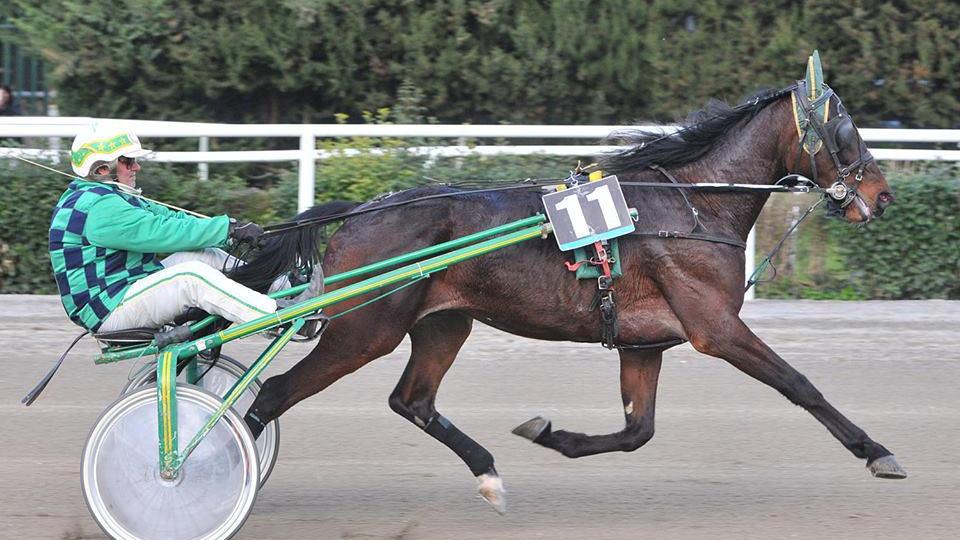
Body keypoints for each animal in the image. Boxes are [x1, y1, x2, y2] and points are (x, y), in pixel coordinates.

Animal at [231, 71, 902, 513]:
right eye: (845, 130)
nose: (883, 195)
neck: (691, 205)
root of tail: (361, 211)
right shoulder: (715, 327)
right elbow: (799, 384)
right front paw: (875, 450)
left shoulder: (643, 343)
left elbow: (637, 431)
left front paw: (550, 435)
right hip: (364, 329)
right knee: (275, 392)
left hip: (444, 322)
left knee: (412, 400)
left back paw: (488, 473)